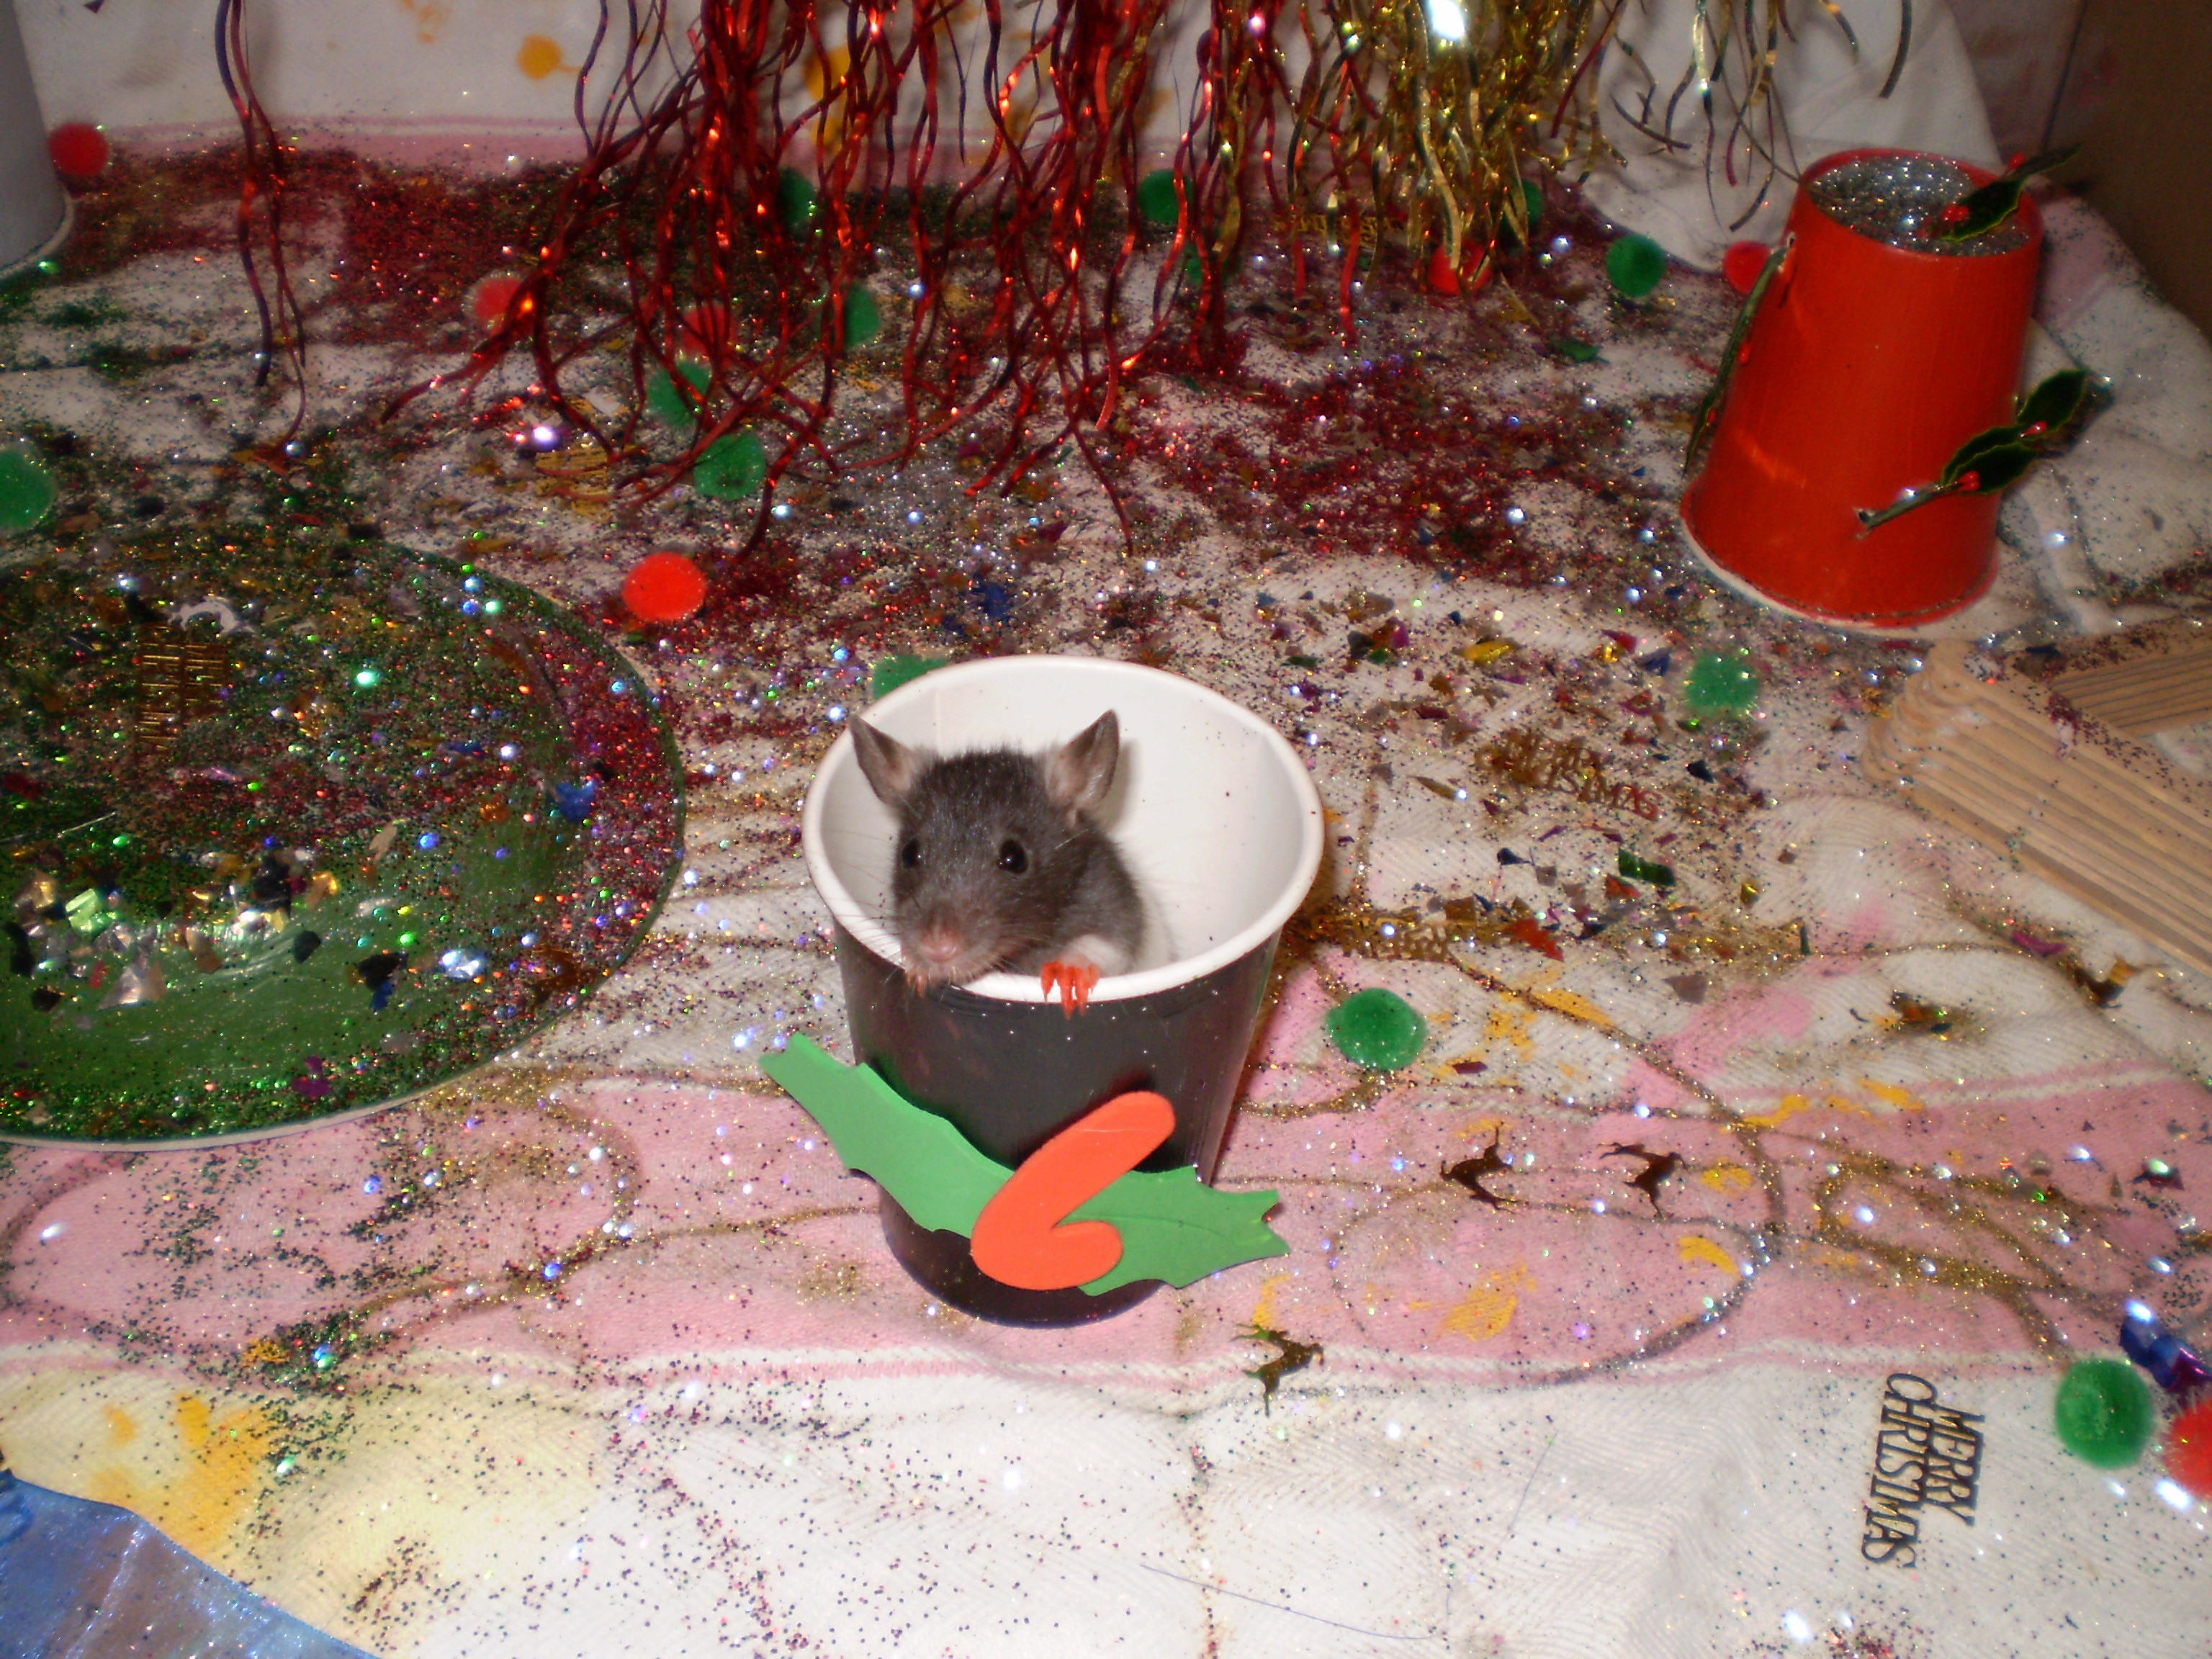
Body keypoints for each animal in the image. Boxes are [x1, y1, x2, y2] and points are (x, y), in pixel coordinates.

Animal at [849, 710, 1144, 1012]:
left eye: (1015, 858)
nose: (936, 948)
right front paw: (917, 964)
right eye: (909, 853)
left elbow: (1115, 943)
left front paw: (1071, 966)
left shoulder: (1107, 891)